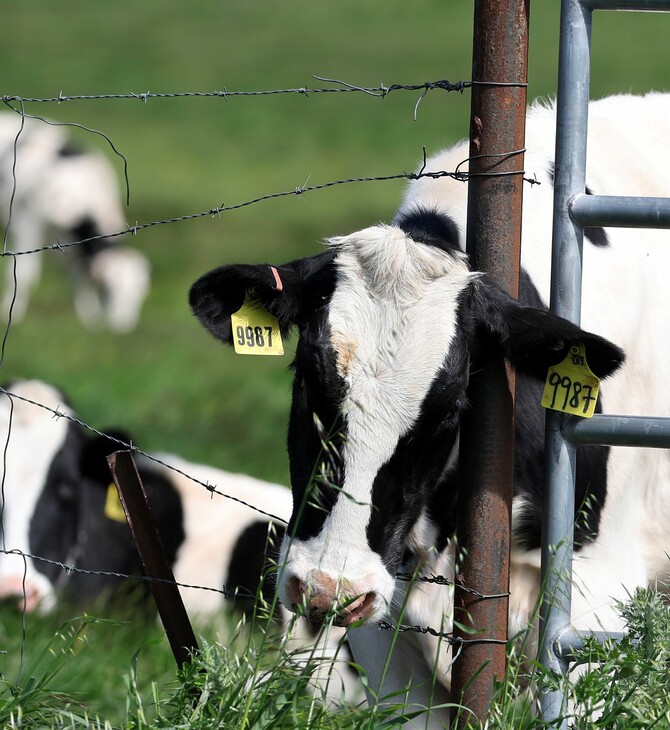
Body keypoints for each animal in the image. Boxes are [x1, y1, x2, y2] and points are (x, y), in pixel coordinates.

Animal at [0, 112, 150, 332]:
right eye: (107, 289)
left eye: (139, 293)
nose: (122, 326)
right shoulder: (26, 222)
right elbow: (25, 274)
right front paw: (11, 314)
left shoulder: (67, 241)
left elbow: (78, 274)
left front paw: (89, 317)